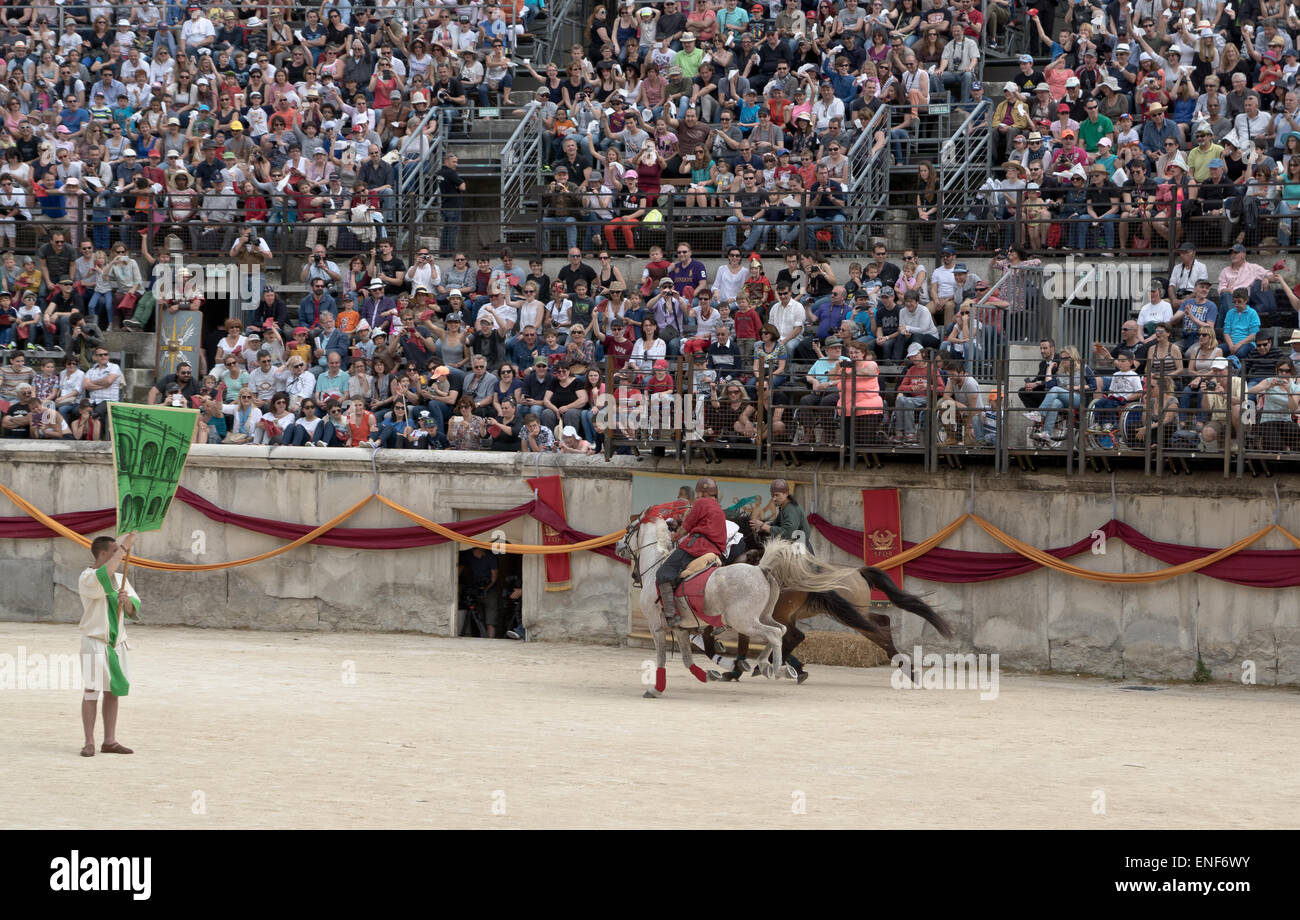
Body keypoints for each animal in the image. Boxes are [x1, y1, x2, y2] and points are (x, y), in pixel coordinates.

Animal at [616, 509, 785, 696]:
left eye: (629, 528)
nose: (618, 545)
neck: (654, 567)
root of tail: (761, 569)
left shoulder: (656, 626)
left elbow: (661, 658)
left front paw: (655, 690)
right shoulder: (681, 629)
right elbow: (687, 659)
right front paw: (709, 675)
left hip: (743, 622)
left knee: (774, 634)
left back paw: (776, 669)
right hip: (762, 616)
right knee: (781, 630)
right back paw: (764, 665)